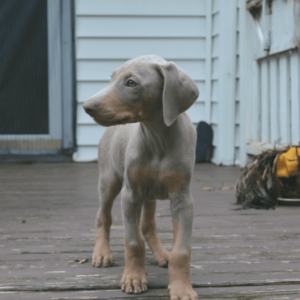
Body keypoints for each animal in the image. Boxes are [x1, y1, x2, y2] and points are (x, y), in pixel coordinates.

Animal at [82, 54, 199, 300]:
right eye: (111, 77)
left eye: (131, 83)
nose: (86, 107)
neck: (157, 138)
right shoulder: (131, 194)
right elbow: (133, 241)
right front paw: (133, 278)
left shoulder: (182, 199)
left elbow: (182, 249)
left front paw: (182, 288)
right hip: (110, 181)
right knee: (103, 216)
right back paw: (101, 253)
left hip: (149, 194)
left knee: (147, 225)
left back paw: (162, 254)